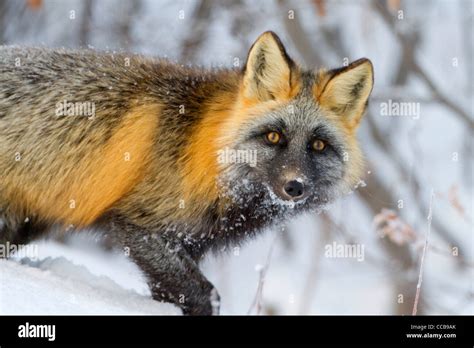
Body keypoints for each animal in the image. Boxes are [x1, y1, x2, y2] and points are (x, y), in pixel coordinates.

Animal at [0, 32, 374, 316]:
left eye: (318, 145)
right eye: (273, 137)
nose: (295, 186)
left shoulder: (187, 246)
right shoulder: (140, 228)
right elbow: (205, 294)